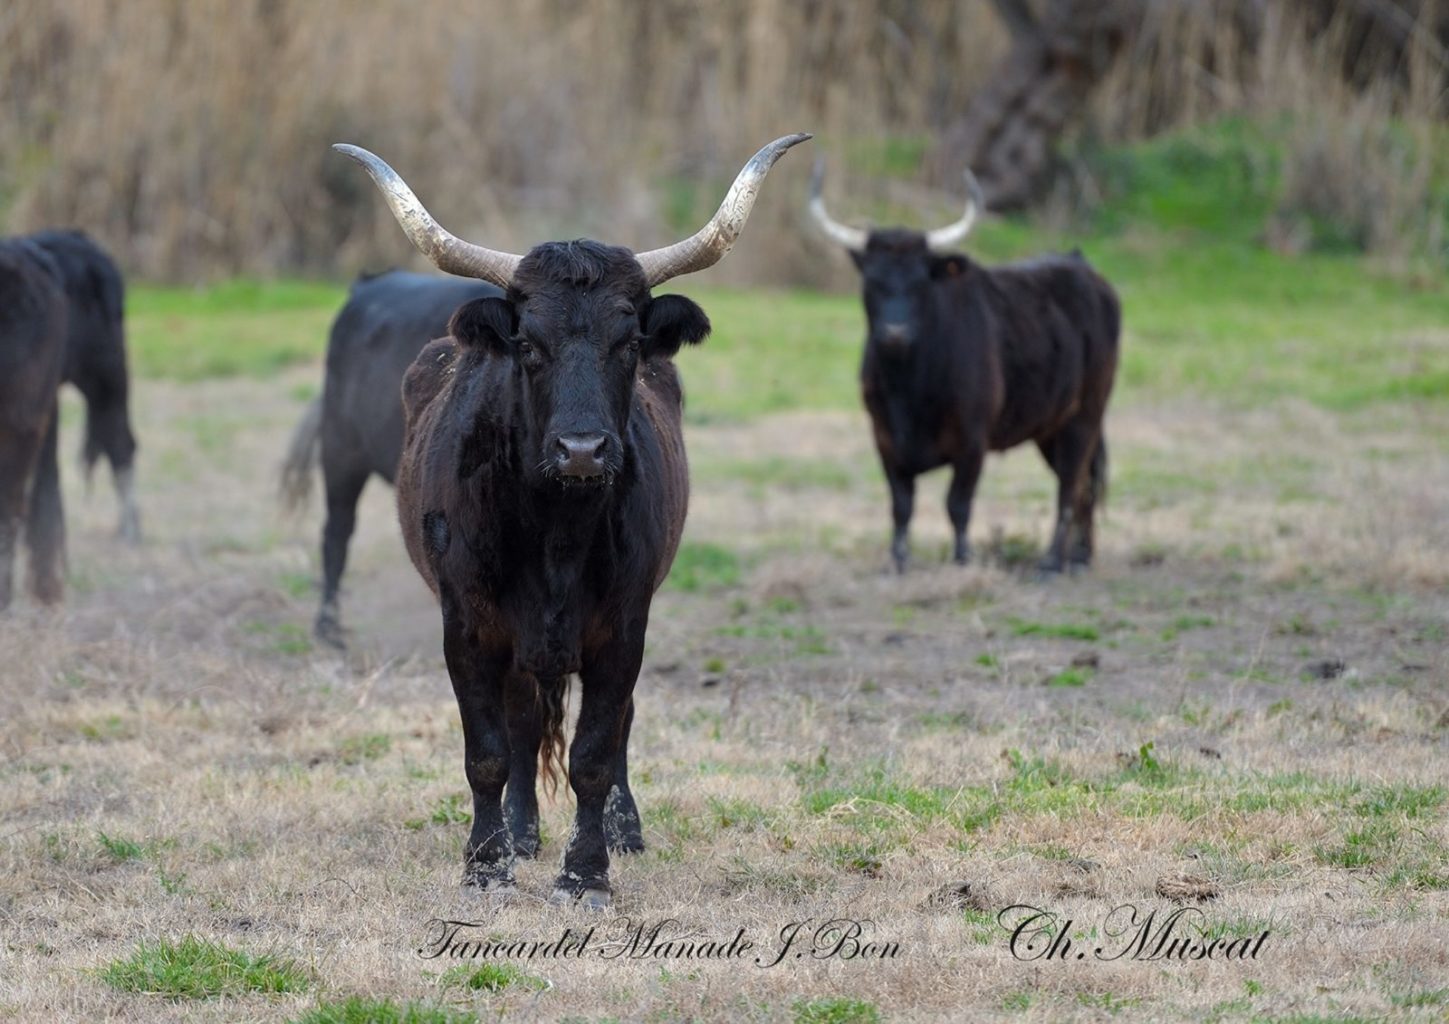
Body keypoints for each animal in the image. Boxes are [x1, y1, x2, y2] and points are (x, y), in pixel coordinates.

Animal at [340, 132, 817, 909]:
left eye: (629, 342)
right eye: (528, 345)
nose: (584, 449)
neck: (555, 532)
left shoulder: (622, 626)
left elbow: (596, 750)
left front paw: (587, 871)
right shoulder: (467, 626)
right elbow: (487, 752)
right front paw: (486, 864)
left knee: (612, 728)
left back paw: (620, 831)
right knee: (521, 723)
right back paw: (520, 833)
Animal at [817, 161, 1118, 576]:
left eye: (921, 282)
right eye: (872, 282)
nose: (895, 334)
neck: (908, 388)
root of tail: (1080, 264)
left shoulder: (973, 442)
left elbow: (957, 504)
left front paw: (962, 559)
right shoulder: (884, 439)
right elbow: (901, 506)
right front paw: (897, 561)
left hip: (1085, 415)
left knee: (1070, 486)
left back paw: (1051, 562)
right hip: (1051, 425)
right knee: (1084, 486)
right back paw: (1080, 557)